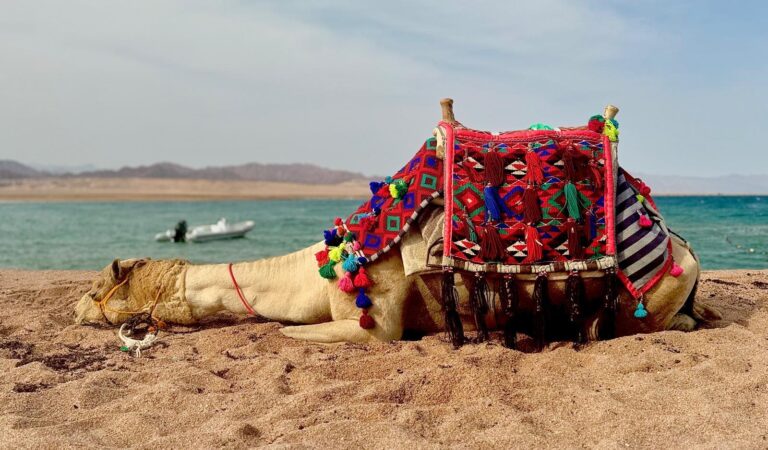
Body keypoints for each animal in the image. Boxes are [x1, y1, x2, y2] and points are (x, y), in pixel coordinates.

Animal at [74, 101, 721, 346]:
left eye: (98, 285)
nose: (73, 308)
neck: (321, 270)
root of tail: (683, 251)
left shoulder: (373, 319)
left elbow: (290, 333)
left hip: (644, 303)